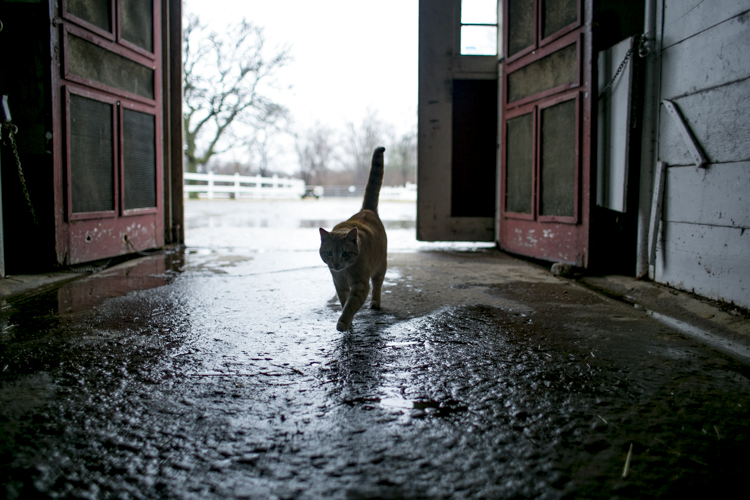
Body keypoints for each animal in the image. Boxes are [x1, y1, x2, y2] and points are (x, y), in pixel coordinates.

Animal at [318, 146, 388, 330]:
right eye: (329, 253)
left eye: (345, 253)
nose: (336, 264)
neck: (345, 273)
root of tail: (366, 210)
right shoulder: (339, 284)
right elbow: (344, 301)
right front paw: (348, 321)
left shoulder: (360, 285)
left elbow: (351, 305)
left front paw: (343, 321)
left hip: (381, 266)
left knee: (377, 285)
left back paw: (376, 302)